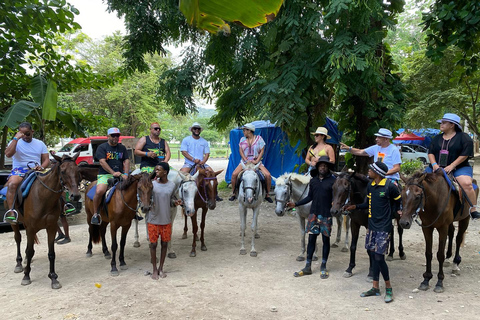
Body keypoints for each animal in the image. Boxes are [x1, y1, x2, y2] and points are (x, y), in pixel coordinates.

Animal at [6, 154, 81, 288]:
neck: (43, 197)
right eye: (63, 171)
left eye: (78, 171)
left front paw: (53, 277)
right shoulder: (31, 228)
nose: (75, 195)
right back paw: (19, 263)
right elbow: (30, 251)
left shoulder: (51, 227)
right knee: (18, 238)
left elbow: (51, 253)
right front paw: (26, 276)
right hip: (15, 223)